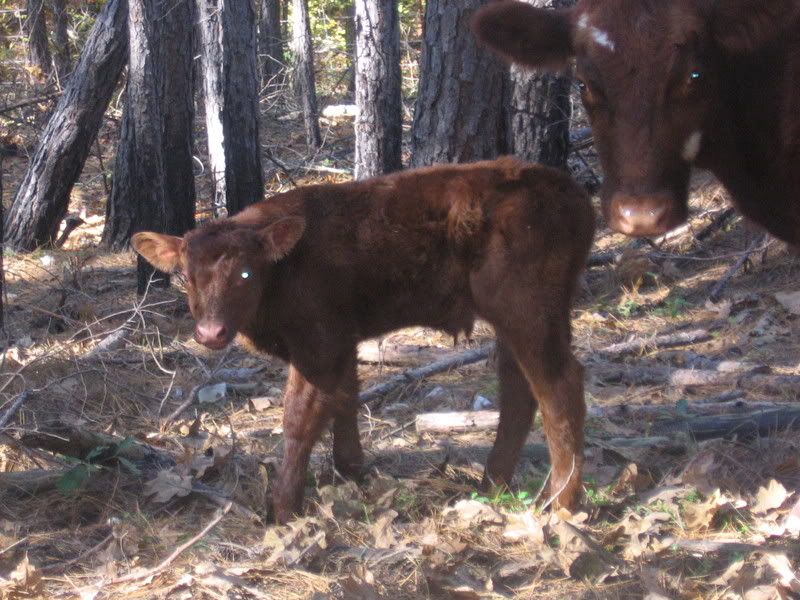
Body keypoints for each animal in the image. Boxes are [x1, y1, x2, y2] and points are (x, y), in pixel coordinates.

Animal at [132, 157, 595, 524]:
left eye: (246, 273)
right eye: (186, 275)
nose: (211, 332)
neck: (285, 268)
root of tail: (574, 195)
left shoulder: (319, 344)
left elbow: (299, 418)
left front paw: (283, 507)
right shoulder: (343, 340)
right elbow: (345, 399)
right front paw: (352, 470)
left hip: (527, 312)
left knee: (559, 387)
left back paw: (562, 503)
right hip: (519, 321)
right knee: (519, 387)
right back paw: (491, 485)